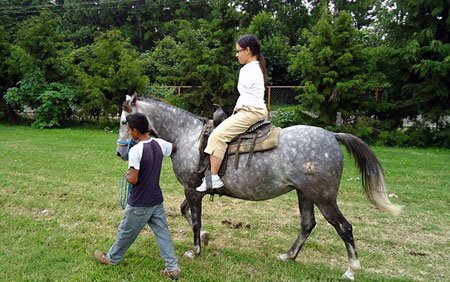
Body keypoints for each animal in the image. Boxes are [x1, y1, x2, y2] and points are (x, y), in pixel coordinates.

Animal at [115, 94, 400, 280]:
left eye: (123, 122)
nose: (120, 153)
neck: (187, 137)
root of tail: (332, 135)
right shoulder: (195, 190)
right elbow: (186, 212)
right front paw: (205, 238)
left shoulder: (192, 190)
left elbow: (194, 219)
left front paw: (195, 250)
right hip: (305, 194)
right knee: (307, 224)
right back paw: (289, 256)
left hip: (324, 197)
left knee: (344, 227)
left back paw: (351, 269)